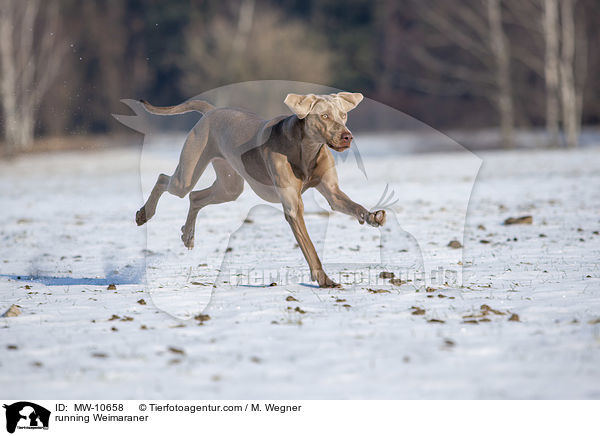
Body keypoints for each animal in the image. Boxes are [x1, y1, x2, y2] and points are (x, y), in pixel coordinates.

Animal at [137, 92, 384, 288]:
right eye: (324, 116)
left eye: (343, 115)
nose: (347, 136)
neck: (307, 149)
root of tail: (212, 111)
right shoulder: (293, 206)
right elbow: (310, 248)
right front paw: (324, 280)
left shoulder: (332, 192)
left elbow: (354, 206)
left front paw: (373, 217)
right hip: (188, 173)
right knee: (165, 180)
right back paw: (143, 214)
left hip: (229, 186)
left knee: (196, 196)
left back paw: (188, 235)